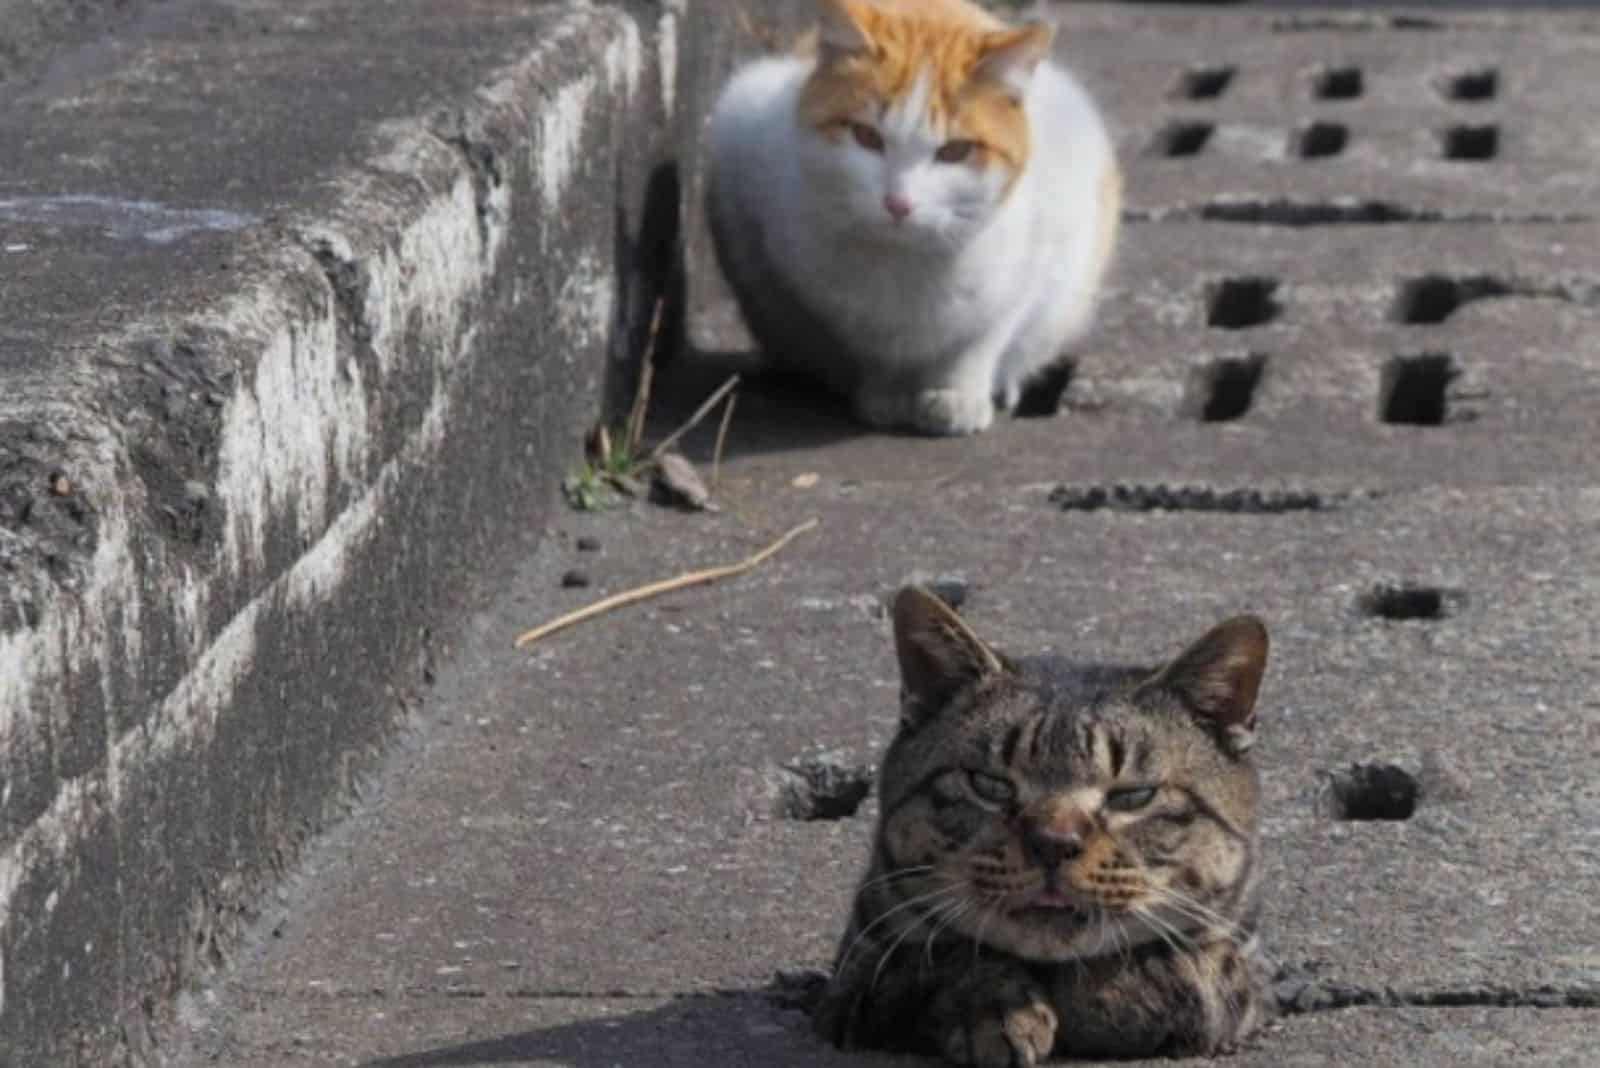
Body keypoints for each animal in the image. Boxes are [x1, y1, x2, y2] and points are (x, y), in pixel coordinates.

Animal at [707, 0, 1120, 438]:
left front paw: (958, 396)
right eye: (866, 137)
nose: (898, 203)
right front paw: (886, 395)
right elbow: (872, 348)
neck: (907, 261)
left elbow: (980, 342)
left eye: (955, 151)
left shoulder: (1032, 263)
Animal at [819, 588, 1267, 1061]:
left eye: (1133, 796)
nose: (1053, 842)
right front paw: (995, 1007)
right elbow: (948, 958)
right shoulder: (857, 981)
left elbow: (1197, 974)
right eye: (989, 784)